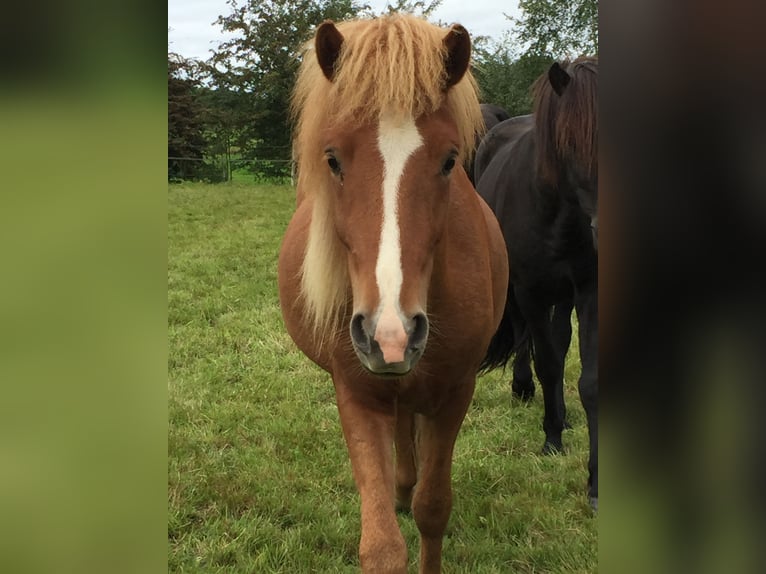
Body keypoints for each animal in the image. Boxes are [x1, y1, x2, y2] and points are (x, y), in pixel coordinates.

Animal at [280, 14, 510, 574]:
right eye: (333, 159)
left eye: (449, 160)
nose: (390, 334)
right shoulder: (356, 395)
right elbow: (382, 544)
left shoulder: (455, 392)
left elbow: (434, 509)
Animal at [480, 57, 600, 512]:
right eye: (571, 140)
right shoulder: (529, 291)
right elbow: (547, 363)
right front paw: (550, 439)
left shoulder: (588, 293)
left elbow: (588, 379)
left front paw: (595, 483)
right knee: (525, 337)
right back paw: (524, 388)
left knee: (559, 337)